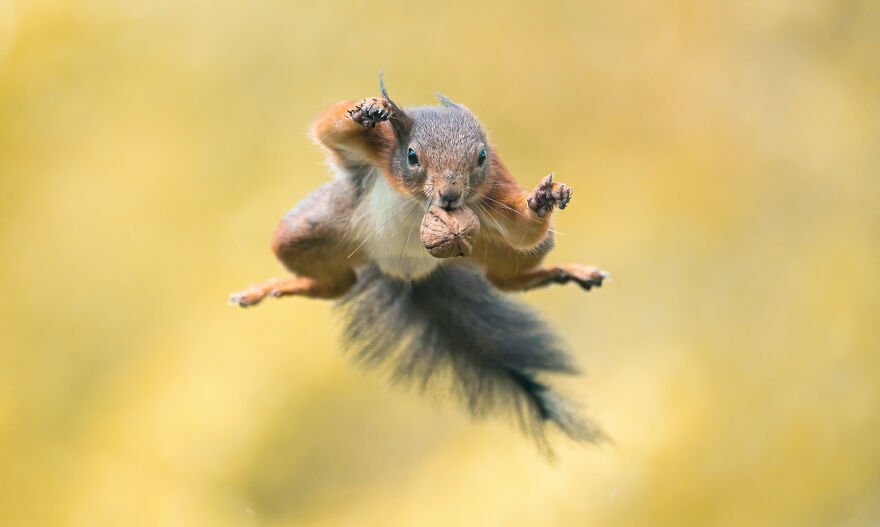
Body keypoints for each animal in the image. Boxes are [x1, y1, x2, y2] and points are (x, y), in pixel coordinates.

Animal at [230, 77, 608, 450]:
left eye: (481, 157)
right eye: (412, 155)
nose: (450, 195)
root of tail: (401, 272)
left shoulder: (495, 187)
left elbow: (522, 231)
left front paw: (543, 200)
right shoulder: (378, 148)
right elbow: (328, 128)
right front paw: (368, 111)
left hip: (494, 248)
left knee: (506, 278)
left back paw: (564, 272)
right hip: (306, 231)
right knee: (335, 283)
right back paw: (273, 288)